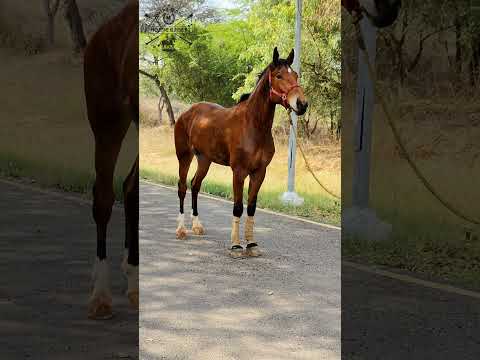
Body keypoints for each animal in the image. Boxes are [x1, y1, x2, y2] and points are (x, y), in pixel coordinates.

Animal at [174, 47, 306, 258]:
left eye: (295, 75)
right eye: (279, 75)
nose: (302, 104)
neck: (253, 126)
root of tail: (187, 112)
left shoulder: (259, 172)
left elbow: (251, 207)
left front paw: (251, 244)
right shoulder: (239, 172)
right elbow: (237, 207)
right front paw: (236, 246)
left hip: (204, 159)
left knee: (195, 185)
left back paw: (197, 226)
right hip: (184, 156)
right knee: (182, 187)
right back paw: (181, 230)